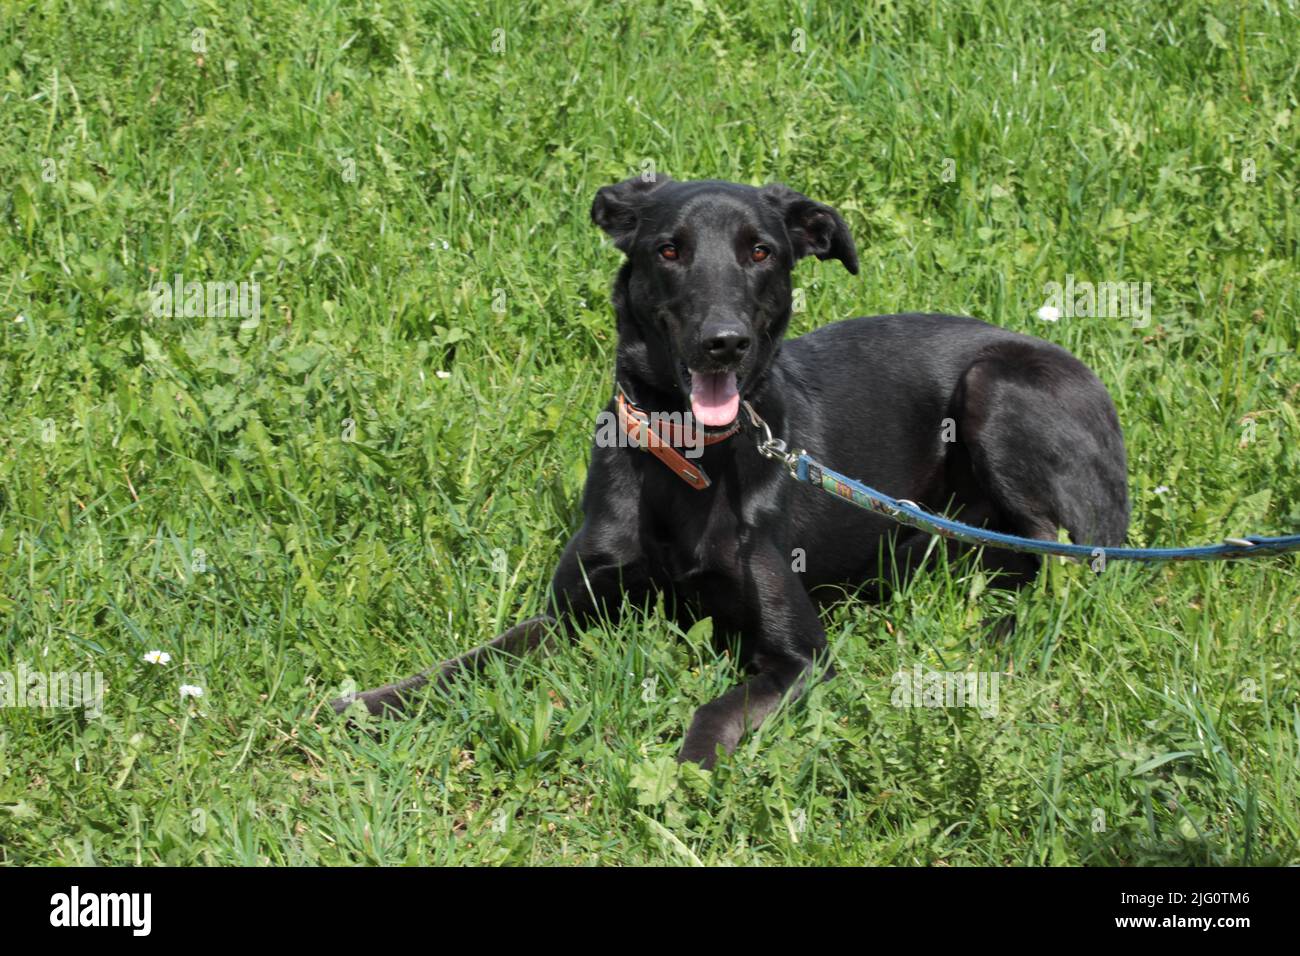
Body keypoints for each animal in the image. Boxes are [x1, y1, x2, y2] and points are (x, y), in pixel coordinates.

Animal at [338, 174, 1128, 770]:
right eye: (668, 249)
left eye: (760, 251)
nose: (724, 342)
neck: (689, 461)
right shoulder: (570, 612)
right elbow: (473, 658)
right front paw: (369, 702)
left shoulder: (799, 656)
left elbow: (715, 711)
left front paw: (686, 775)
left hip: (994, 388)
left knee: (1061, 554)